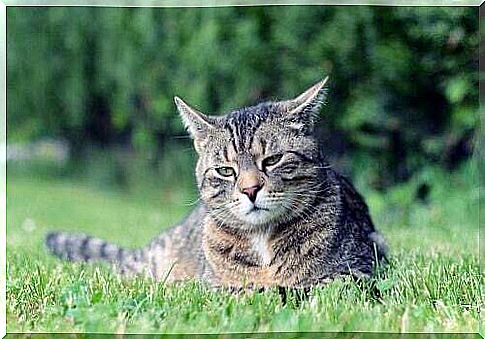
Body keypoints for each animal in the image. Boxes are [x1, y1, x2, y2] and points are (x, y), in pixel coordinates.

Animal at [44, 77, 386, 290]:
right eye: (225, 171)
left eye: (272, 160)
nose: (250, 189)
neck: (262, 241)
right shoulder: (217, 286)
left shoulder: (359, 268)